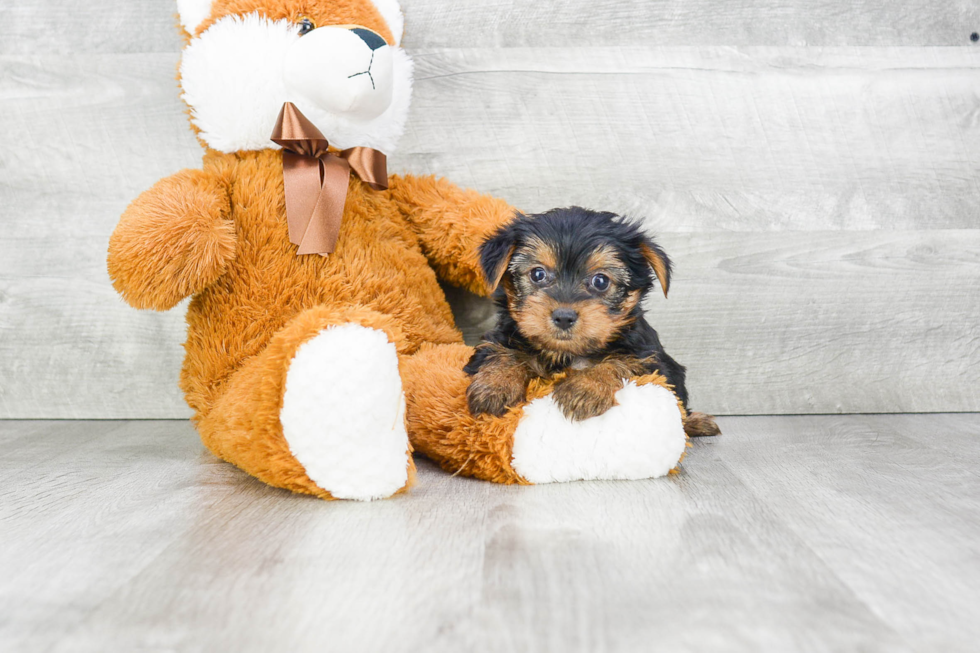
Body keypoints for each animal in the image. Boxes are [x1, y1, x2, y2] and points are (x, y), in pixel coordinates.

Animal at [464, 206, 724, 436]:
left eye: (600, 281)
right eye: (538, 274)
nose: (564, 316)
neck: (566, 354)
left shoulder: (651, 360)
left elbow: (621, 361)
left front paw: (585, 388)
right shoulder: (498, 339)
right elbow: (500, 351)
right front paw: (496, 385)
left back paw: (696, 422)